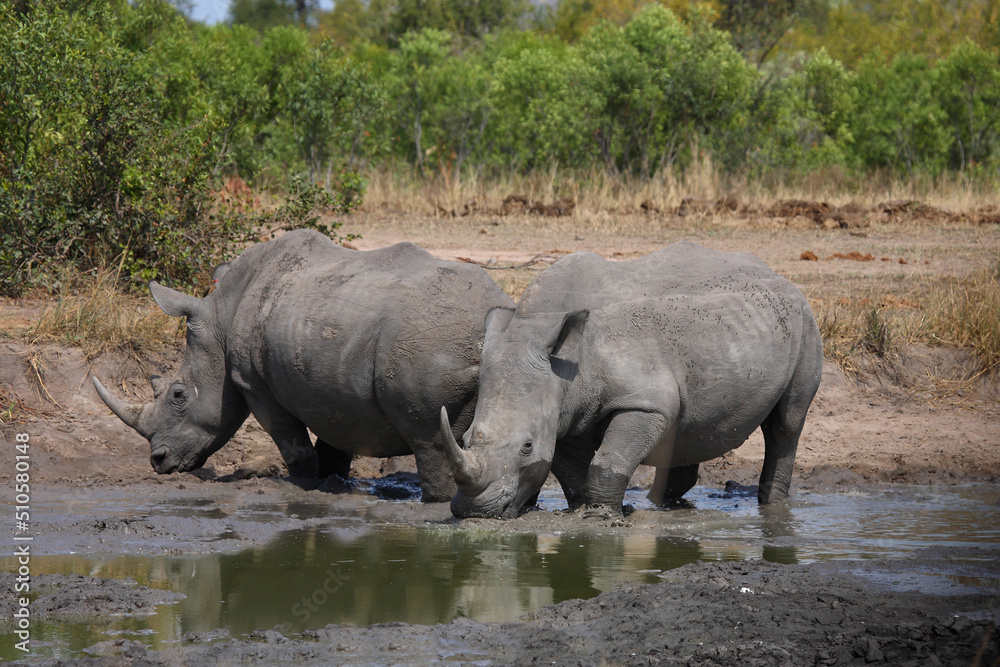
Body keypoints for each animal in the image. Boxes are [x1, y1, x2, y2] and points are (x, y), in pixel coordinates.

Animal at [93, 229, 515, 501]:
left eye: (178, 394)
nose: (158, 462)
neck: (220, 317)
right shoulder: (337, 387)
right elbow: (336, 441)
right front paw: (332, 484)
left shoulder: (252, 382)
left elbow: (292, 444)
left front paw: (305, 485)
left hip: (428, 345)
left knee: (430, 441)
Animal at [440, 241, 823, 518]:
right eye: (465, 438)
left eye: (526, 446)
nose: (474, 511)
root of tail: (781, 277)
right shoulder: (565, 409)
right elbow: (569, 468)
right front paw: (583, 507)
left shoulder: (643, 402)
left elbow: (611, 460)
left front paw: (601, 515)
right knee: (691, 425)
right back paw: (666, 506)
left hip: (804, 322)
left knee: (788, 422)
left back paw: (772, 508)